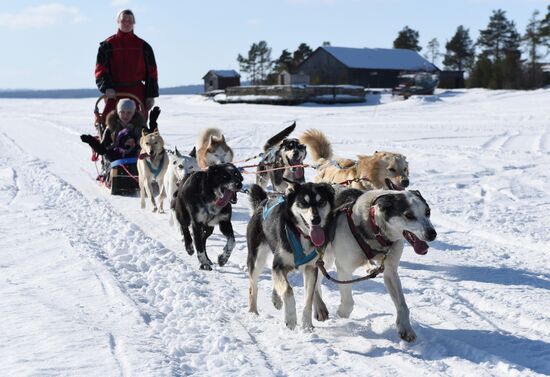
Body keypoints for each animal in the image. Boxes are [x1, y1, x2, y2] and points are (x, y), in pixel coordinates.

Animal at [249, 181, 336, 328]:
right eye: (303, 203)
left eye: (321, 201)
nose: (316, 219)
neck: (301, 234)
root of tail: (263, 202)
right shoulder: (279, 265)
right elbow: (288, 290)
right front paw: (290, 318)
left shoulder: (311, 268)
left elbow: (309, 298)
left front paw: (307, 325)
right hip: (257, 260)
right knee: (253, 287)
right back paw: (253, 312)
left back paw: (276, 299)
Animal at [316, 188, 438, 340]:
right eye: (409, 215)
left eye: (428, 212)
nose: (432, 233)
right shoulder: (344, 269)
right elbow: (348, 302)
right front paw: (342, 312)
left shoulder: (390, 270)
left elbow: (402, 304)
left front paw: (405, 327)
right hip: (326, 258)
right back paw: (318, 305)